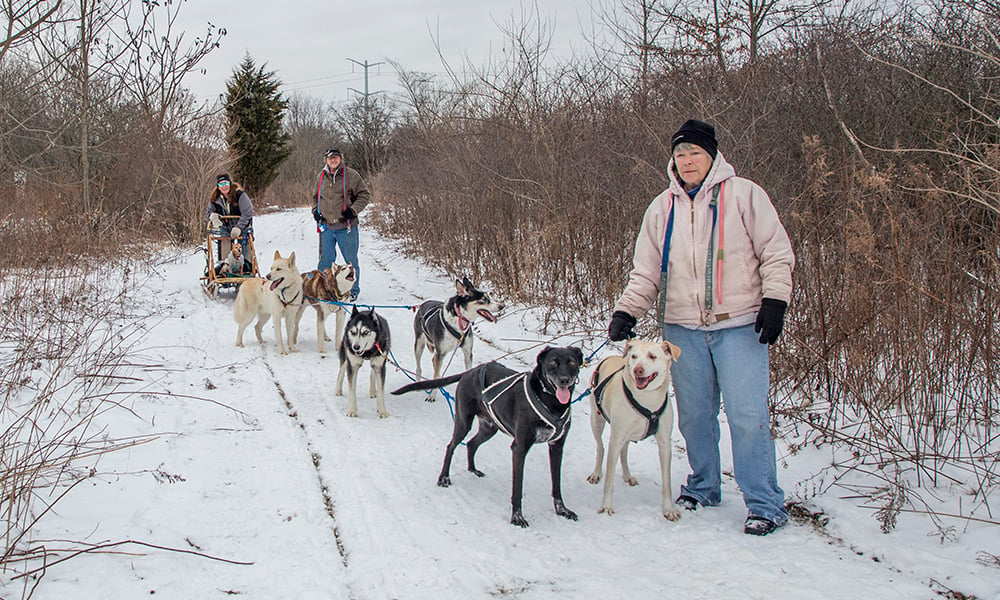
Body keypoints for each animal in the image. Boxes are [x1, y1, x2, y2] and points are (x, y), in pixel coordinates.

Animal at [388, 344, 584, 528]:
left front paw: (562, 510)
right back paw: (444, 478)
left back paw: (473, 469)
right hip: (463, 422)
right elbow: (517, 488)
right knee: (451, 446)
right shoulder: (519, 448)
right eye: (553, 362)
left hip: (489, 428)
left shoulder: (557, 447)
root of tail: (469, 372)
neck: (550, 401)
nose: (565, 380)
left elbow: (556, 484)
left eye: (572, 362)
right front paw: (517, 517)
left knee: (471, 444)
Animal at [584, 340, 684, 516]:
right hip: (597, 421)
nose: (638, 369)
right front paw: (606, 506)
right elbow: (609, 480)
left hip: (627, 433)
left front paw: (669, 509)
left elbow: (667, 482)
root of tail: (610, 357)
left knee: (624, 452)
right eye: (634, 356)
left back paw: (628, 475)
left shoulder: (665, 443)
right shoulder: (616, 439)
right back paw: (596, 473)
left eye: (652, 356)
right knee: (600, 447)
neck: (647, 399)